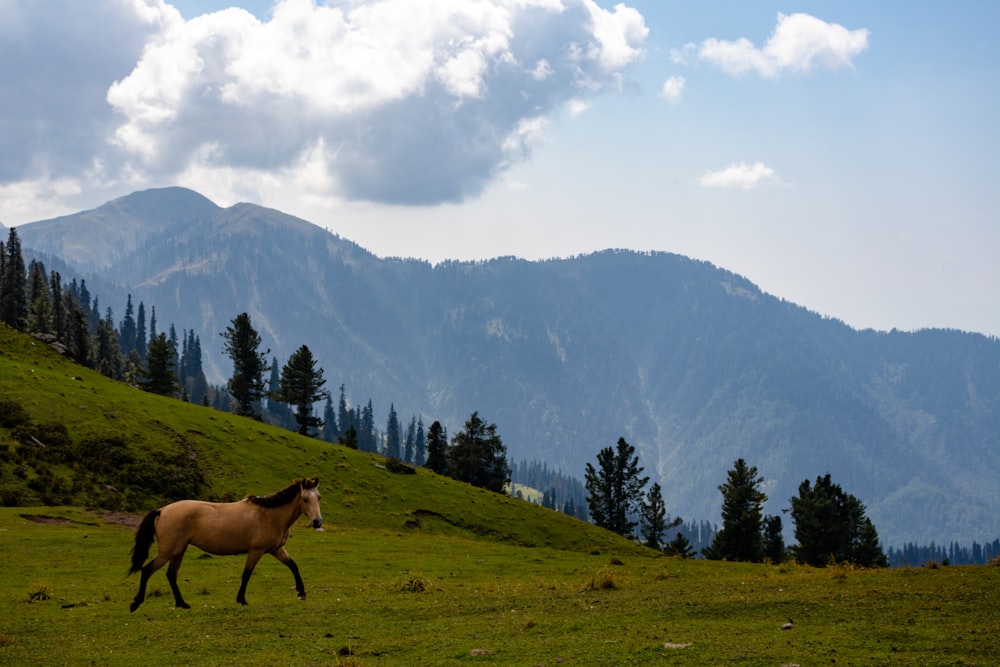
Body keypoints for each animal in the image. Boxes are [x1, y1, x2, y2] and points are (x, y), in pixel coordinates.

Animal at [129, 478, 322, 612]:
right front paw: (241, 599)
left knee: (171, 575)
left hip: (178, 551)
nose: (317, 522)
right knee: (147, 570)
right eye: (305, 499)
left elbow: (293, 566)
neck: (270, 515)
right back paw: (136, 603)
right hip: (167, 552)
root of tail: (162, 510)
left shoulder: (276, 550)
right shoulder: (256, 551)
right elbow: (246, 574)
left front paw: (302, 593)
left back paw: (182, 603)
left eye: (318, 497)